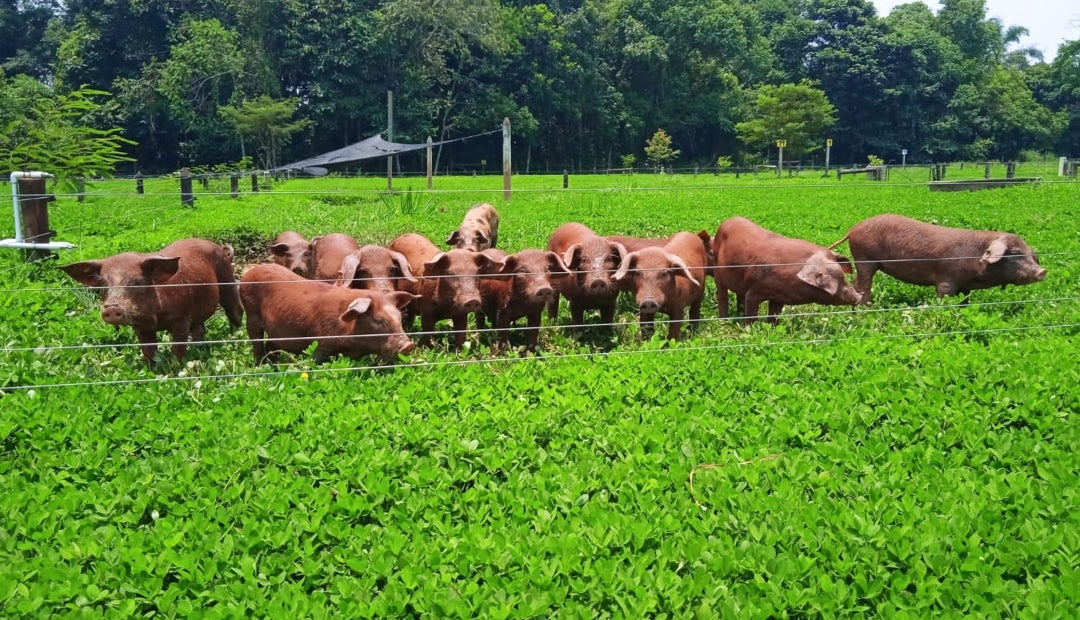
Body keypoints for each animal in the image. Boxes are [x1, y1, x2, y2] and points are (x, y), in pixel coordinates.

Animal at [61, 236, 245, 365]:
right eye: (103, 284)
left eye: (137, 282)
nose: (111, 308)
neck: (154, 317)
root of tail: (220, 248)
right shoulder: (140, 327)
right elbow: (149, 351)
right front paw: (153, 369)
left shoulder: (181, 318)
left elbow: (177, 348)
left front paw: (176, 369)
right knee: (200, 329)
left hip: (226, 278)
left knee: (235, 311)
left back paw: (236, 338)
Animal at [240, 262, 416, 365]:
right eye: (378, 319)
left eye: (399, 318)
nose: (409, 345)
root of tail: (248, 273)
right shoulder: (323, 343)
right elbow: (316, 360)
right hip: (250, 313)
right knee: (256, 340)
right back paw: (260, 365)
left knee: (271, 345)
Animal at [712, 217, 864, 326]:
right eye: (840, 280)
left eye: (844, 277)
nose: (859, 296)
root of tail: (726, 221)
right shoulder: (753, 290)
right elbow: (751, 314)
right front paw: (750, 331)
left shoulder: (778, 297)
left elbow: (774, 315)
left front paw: (772, 329)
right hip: (717, 273)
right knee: (722, 295)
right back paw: (723, 320)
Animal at [825, 212, 1045, 304]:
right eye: (1013, 253)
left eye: (1031, 254)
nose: (1043, 271)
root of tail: (853, 229)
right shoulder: (947, 280)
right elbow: (943, 298)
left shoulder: (965, 286)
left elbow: (965, 302)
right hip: (865, 259)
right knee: (863, 283)